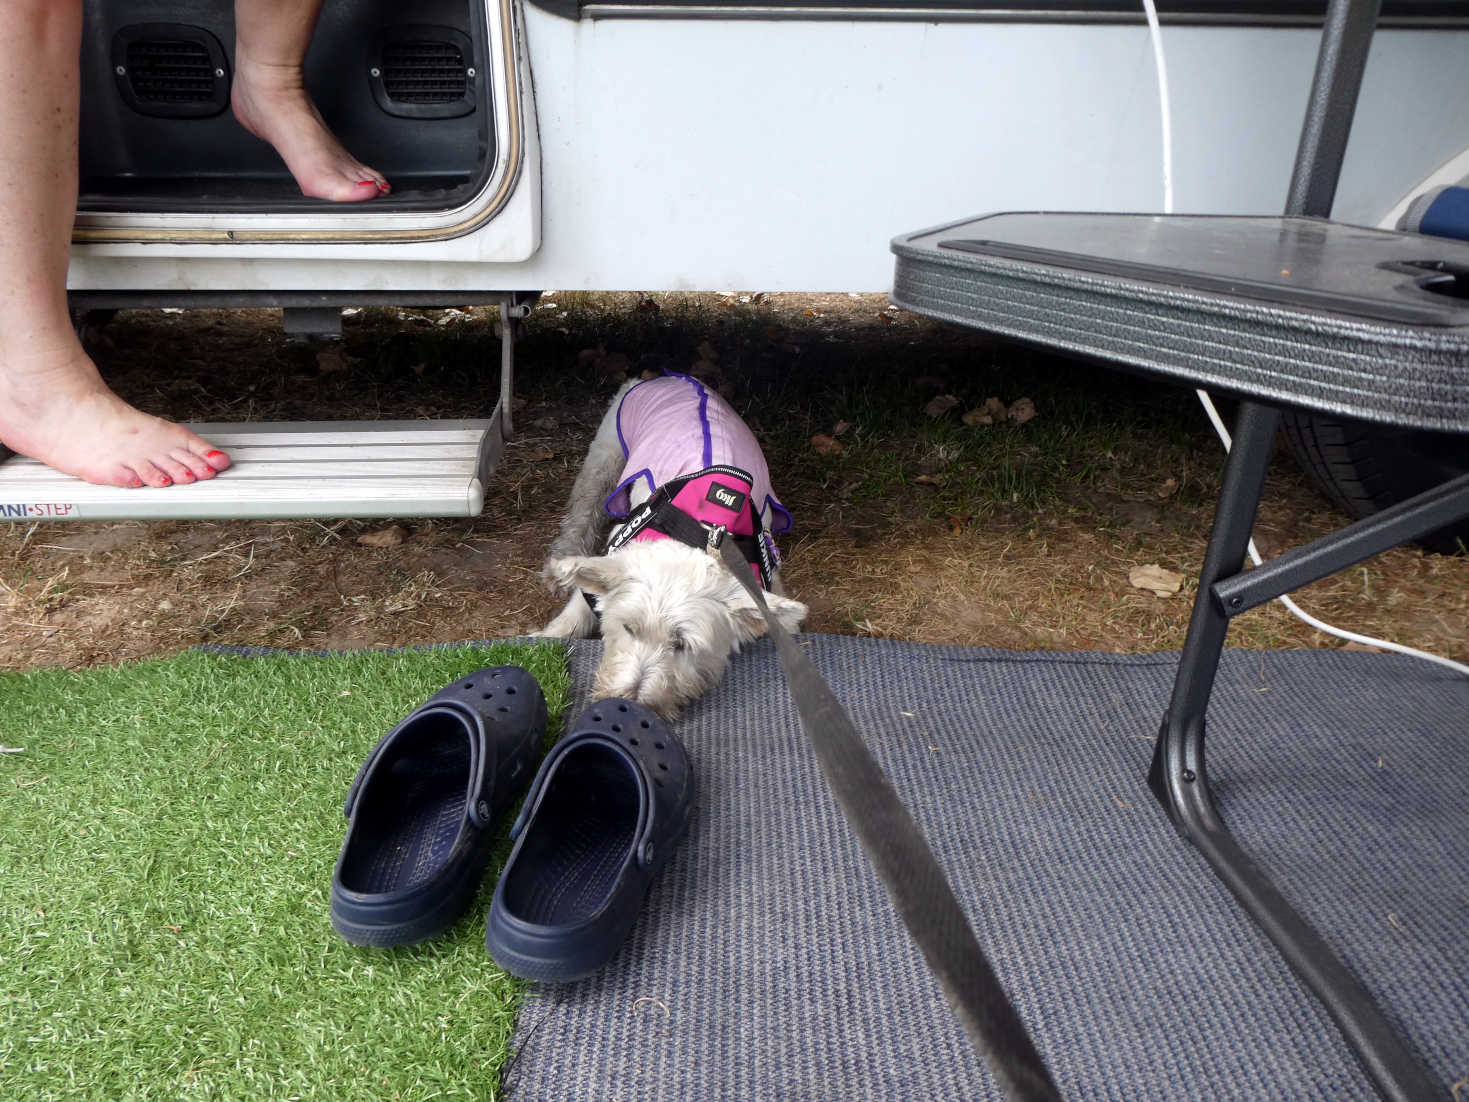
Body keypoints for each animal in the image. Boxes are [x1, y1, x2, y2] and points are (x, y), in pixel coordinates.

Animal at [537, 371, 805, 719]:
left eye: (682, 645)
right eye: (628, 628)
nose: (629, 704)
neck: (702, 529)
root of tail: (670, 376)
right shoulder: (619, 546)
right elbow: (582, 601)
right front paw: (546, 637)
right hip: (606, 454)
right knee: (582, 510)